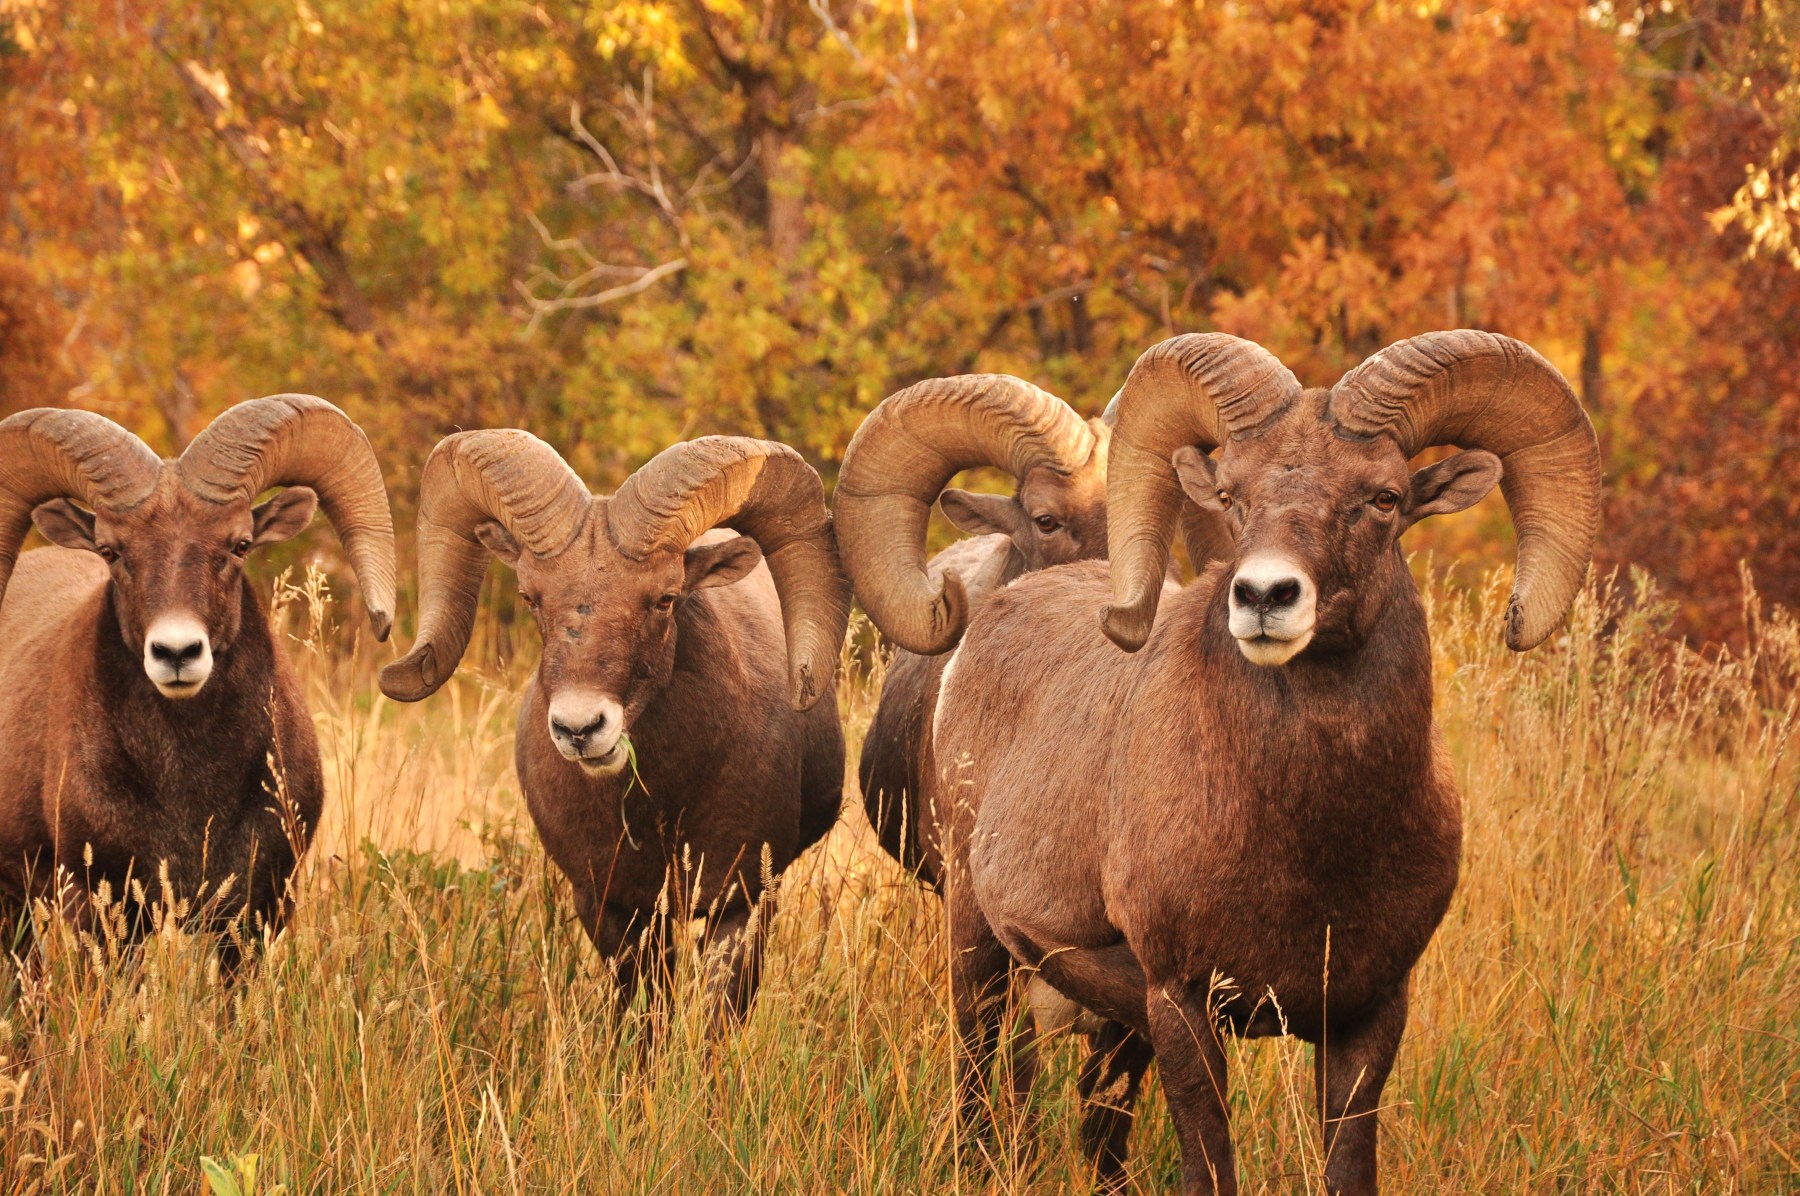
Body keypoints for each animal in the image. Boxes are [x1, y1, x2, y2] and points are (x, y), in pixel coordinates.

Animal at [0, 397, 396, 963]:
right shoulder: (101, 914)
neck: (190, 796)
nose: (177, 652)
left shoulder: (256, 916)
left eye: (240, 544)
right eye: (110, 550)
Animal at [378, 431, 850, 1026]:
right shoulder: (612, 908)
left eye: (665, 598)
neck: (661, 808)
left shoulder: (742, 903)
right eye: (530, 596)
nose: (580, 728)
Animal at [907, 331, 1600, 1194]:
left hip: (1110, 1029)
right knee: (978, 1076)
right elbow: (1209, 1165)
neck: (1312, 842)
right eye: (1231, 494)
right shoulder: (1183, 1005)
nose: (1265, 596)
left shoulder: (1368, 1017)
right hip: (979, 947)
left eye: (1385, 498)